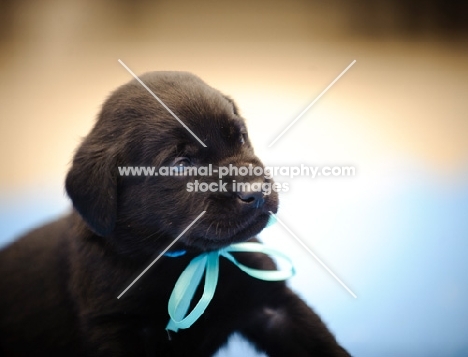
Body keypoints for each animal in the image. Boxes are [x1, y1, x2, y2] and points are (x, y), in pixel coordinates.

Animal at [0, 71, 352, 356]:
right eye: (181, 164)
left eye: (239, 136)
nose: (256, 191)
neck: (189, 259)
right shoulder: (116, 328)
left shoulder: (273, 307)